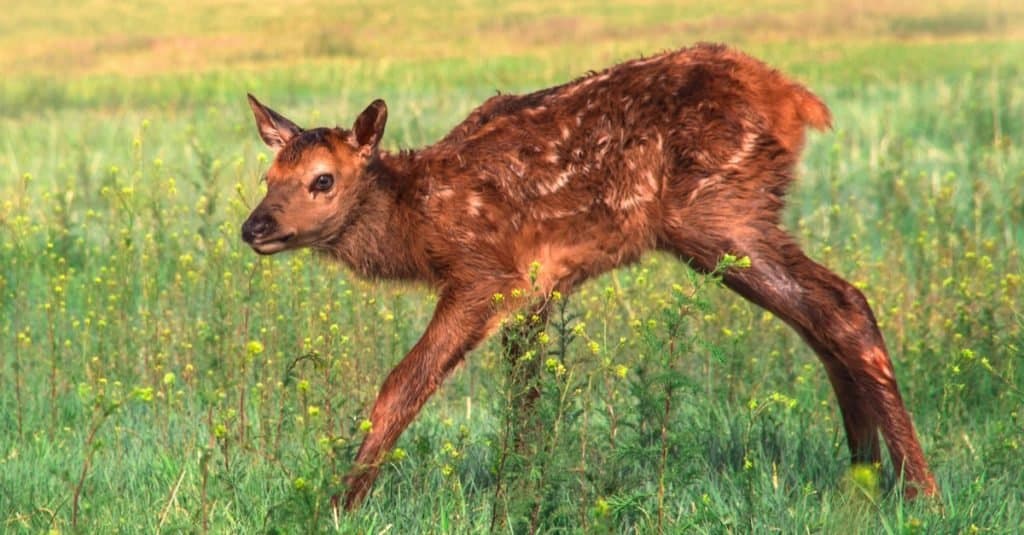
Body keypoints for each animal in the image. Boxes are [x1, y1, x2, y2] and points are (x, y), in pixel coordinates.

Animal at [239, 42, 937, 508]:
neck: (421, 222)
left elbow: (402, 385)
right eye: (267, 176)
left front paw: (339, 503)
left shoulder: (486, 273)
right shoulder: (536, 288)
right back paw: (863, 478)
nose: (255, 227)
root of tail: (797, 101)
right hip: (730, 218)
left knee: (843, 306)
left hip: (717, 211)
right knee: (821, 320)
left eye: (322, 180)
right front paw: (518, 494)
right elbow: (525, 398)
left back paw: (918, 490)